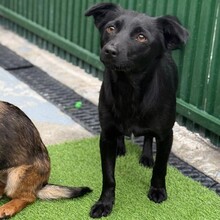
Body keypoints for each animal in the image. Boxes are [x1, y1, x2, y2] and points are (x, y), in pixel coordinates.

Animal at [85, 2, 188, 217]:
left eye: (141, 37)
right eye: (111, 28)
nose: (110, 50)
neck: (128, 88)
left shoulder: (166, 135)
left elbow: (160, 167)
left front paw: (157, 190)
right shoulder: (106, 135)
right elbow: (108, 176)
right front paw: (104, 203)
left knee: (148, 137)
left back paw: (147, 157)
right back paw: (121, 147)